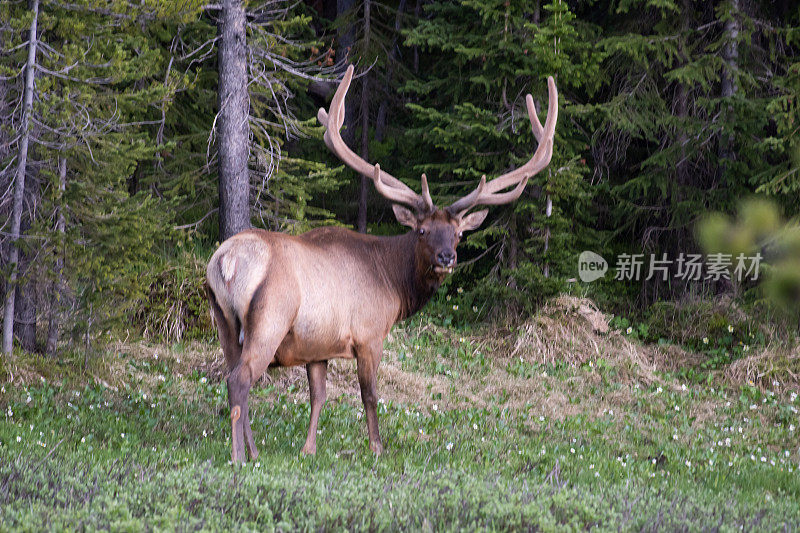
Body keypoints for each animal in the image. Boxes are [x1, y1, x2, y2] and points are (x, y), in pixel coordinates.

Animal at [205, 64, 556, 460]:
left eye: (458, 234)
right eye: (421, 230)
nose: (446, 257)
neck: (393, 283)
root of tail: (226, 262)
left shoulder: (317, 346)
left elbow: (318, 396)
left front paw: (309, 448)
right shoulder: (369, 334)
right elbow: (370, 395)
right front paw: (376, 447)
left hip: (224, 322)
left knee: (234, 375)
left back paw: (253, 452)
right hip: (270, 318)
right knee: (240, 380)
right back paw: (239, 457)